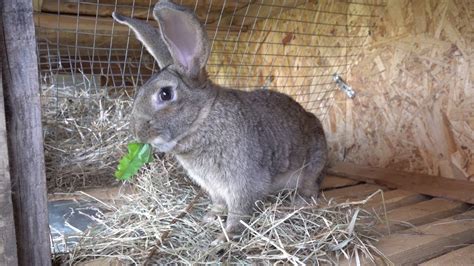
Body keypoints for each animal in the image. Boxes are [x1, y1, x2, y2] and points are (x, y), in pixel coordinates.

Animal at [112, 0, 326, 242]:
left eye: (165, 94)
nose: (137, 132)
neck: (203, 119)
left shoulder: (243, 182)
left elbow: (239, 211)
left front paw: (227, 236)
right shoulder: (213, 187)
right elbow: (219, 203)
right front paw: (211, 217)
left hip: (312, 165)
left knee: (310, 186)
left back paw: (300, 201)